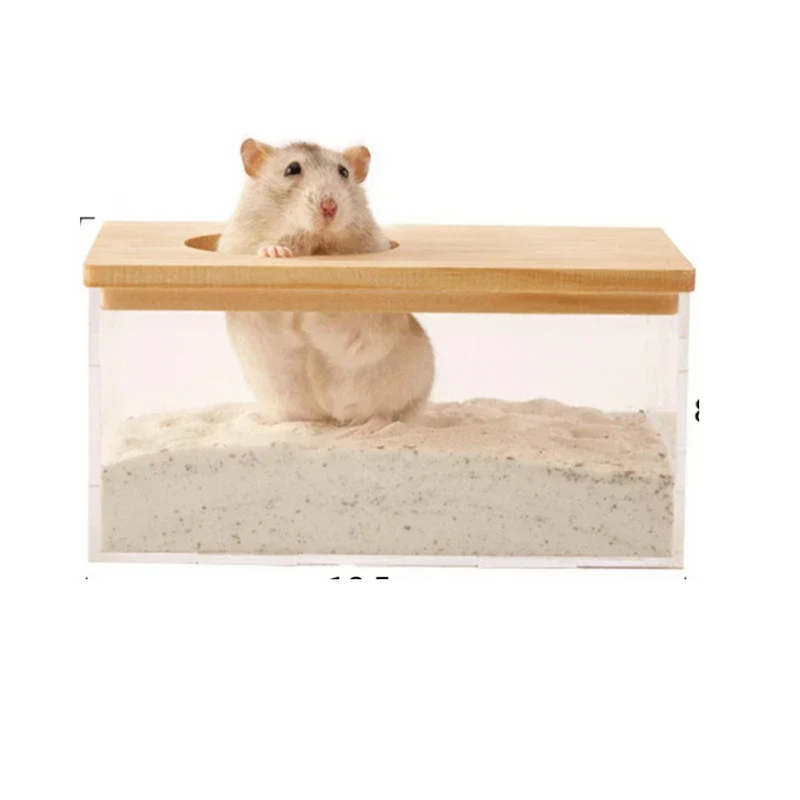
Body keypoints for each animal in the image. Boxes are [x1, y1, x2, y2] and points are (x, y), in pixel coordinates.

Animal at [218, 139, 435, 426]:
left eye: (343, 172)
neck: (314, 245)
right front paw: (275, 252)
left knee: (384, 414)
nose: (330, 207)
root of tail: (329, 416)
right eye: (291, 169)